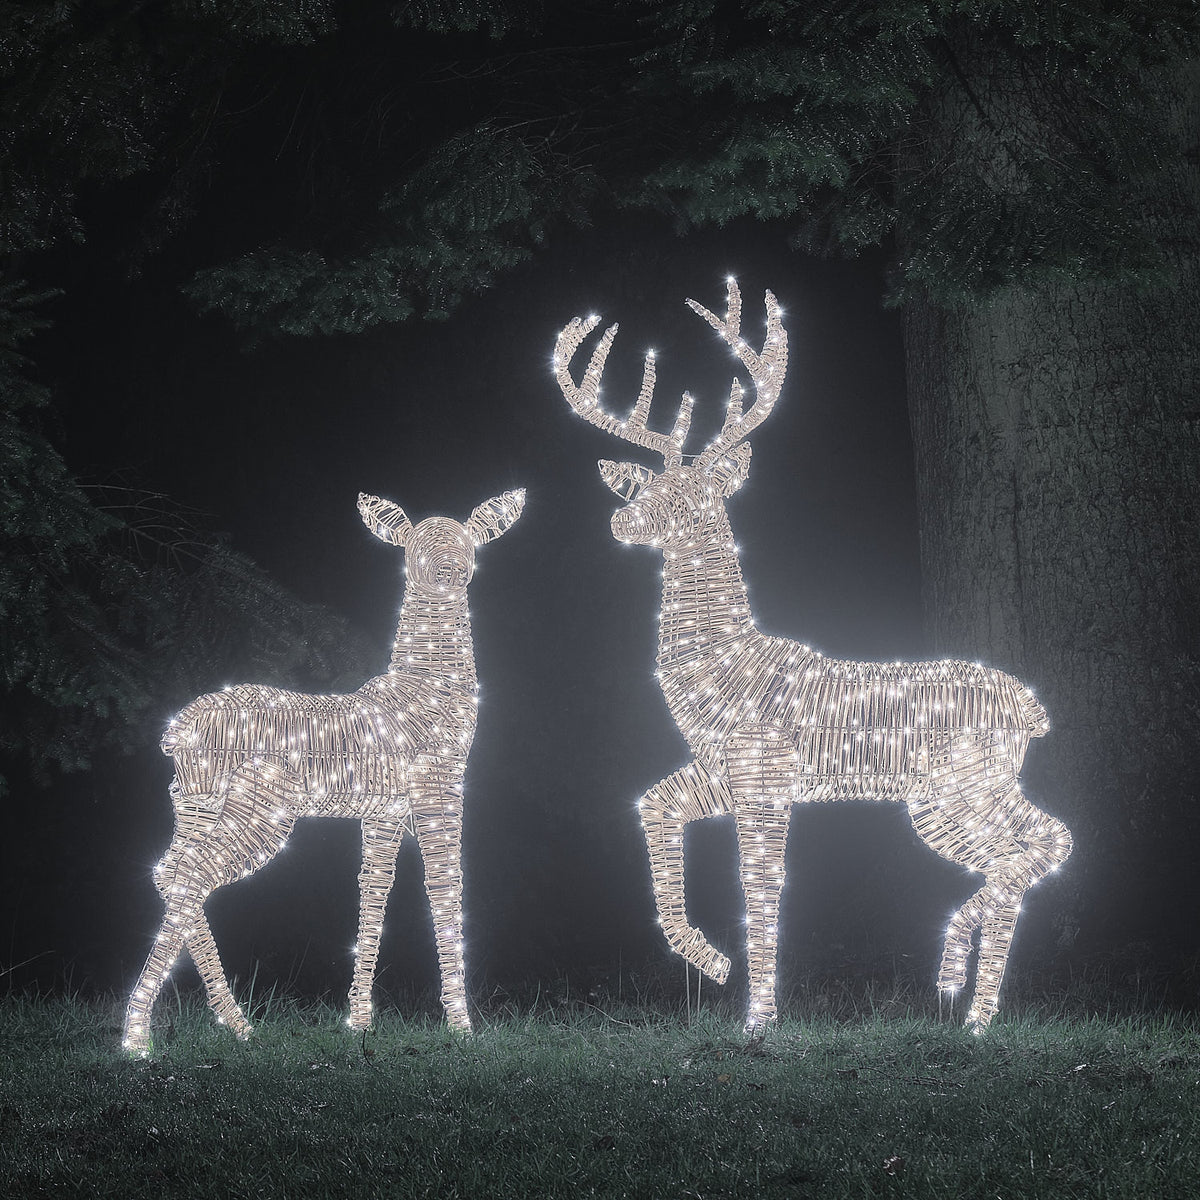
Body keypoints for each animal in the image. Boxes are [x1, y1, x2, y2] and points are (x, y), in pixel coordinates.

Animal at [123, 487, 525, 1054]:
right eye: (414, 549)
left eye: (470, 542)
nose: (449, 567)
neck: (425, 691)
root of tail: (175, 733)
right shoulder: (439, 787)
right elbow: (445, 888)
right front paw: (462, 1027)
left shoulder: (384, 811)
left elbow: (374, 890)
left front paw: (358, 1021)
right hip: (259, 807)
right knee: (193, 872)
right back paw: (138, 1039)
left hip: (195, 801)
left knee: (170, 870)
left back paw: (236, 1022)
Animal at [554, 279, 1071, 1032]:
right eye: (646, 486)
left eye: (694, 494)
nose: (624, 520)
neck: (720, 665)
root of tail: (1033, 709)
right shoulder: (722, 772)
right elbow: (652, 807)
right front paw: (709, 961)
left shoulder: (765, 772)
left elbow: (763, 890)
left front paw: (759, 1019)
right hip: (938, 800)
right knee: (1025, 849)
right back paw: (964, 996)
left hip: (967, 779)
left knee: (1048, 841)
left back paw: (965, 988)